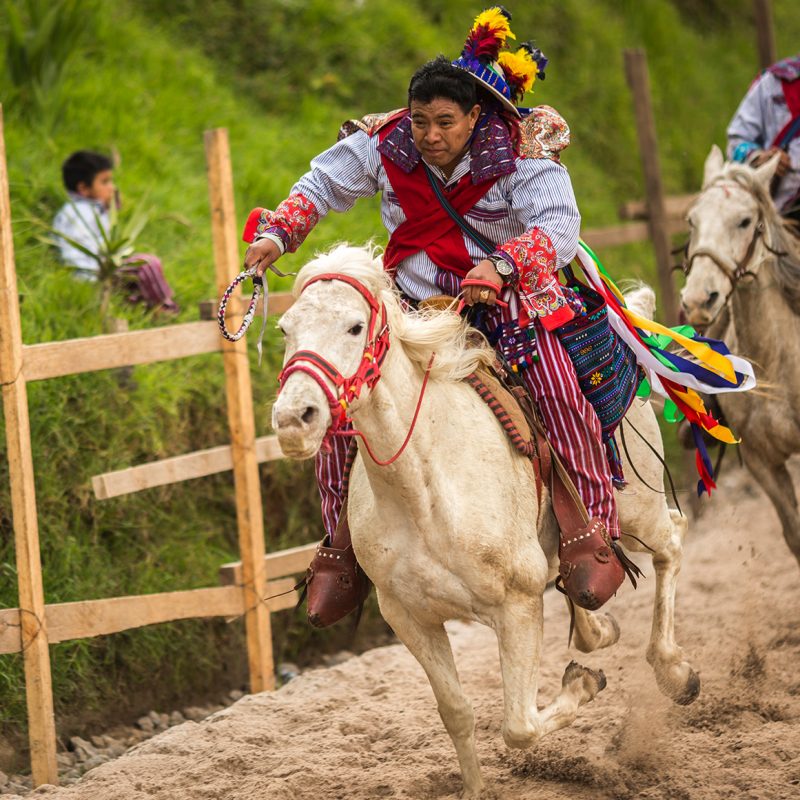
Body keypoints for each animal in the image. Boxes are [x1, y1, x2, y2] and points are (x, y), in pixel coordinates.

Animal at [274, 247, 692, 796]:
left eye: (354, 326)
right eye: (286, 329)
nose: (292, 420)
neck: (425, 491)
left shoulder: (516, 606)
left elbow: (519, 725)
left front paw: (583, 683)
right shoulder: (410, 617)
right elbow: (456, 711)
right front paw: (476, 788)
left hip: (638, 509)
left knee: (672, 541)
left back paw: (675, 672)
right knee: (582, 583)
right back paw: (599, 627)